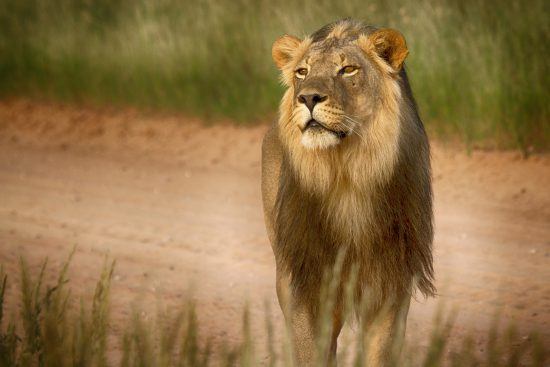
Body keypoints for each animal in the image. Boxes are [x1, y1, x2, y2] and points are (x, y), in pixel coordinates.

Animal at [262, 19, 436, 366]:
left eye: (348, 69)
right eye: (302, 71)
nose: (308, 97)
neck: (346, 173)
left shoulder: (390, 280)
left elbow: (381, 352)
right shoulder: (305, 278)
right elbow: (310, 352)